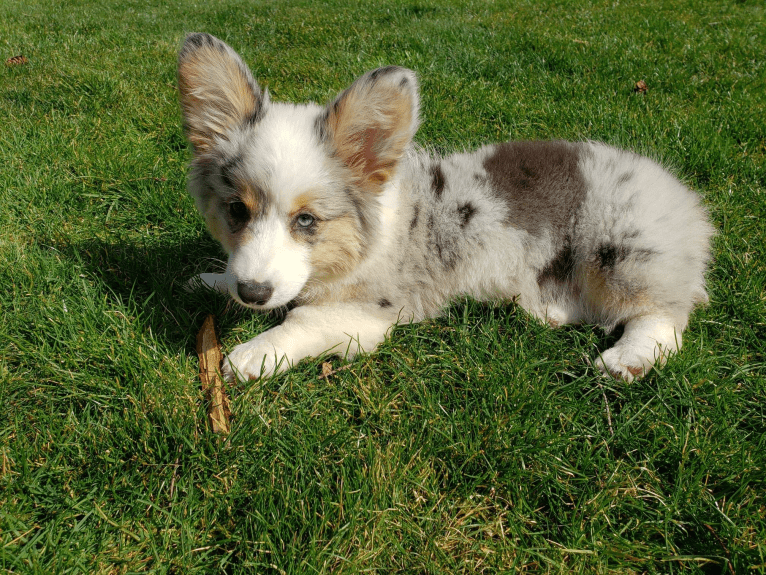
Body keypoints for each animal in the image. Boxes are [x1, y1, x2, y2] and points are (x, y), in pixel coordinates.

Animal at [177, 31, 716, 382]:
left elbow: (299, 322)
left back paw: (627, 359)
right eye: (237, 211)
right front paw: (209, 280)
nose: (252, 293)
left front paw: (249, 356)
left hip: (621, 252)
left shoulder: (364, 315)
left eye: (306, 220)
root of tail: (686, 202)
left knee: (665, 318)